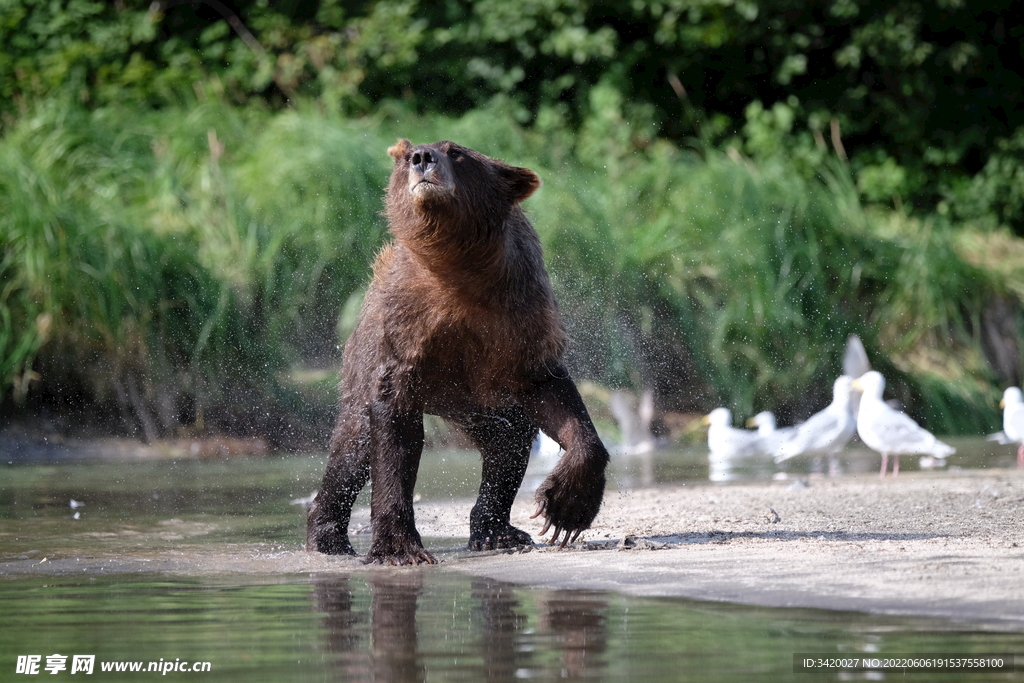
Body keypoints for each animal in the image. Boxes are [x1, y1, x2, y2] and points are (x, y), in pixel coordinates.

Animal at [306, 138, 610, 565]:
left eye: (457, 152)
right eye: (409, 155)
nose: (422, 157)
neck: (459, 270)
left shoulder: (520, 319)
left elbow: (556, 396)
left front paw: (565, 507)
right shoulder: (408, 329)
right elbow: (393, 437)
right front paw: (399, 548)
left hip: (478, 401)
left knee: (509, 441)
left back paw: (497, 532)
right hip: (366, 362)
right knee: (353, 446)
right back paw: (328, 537)